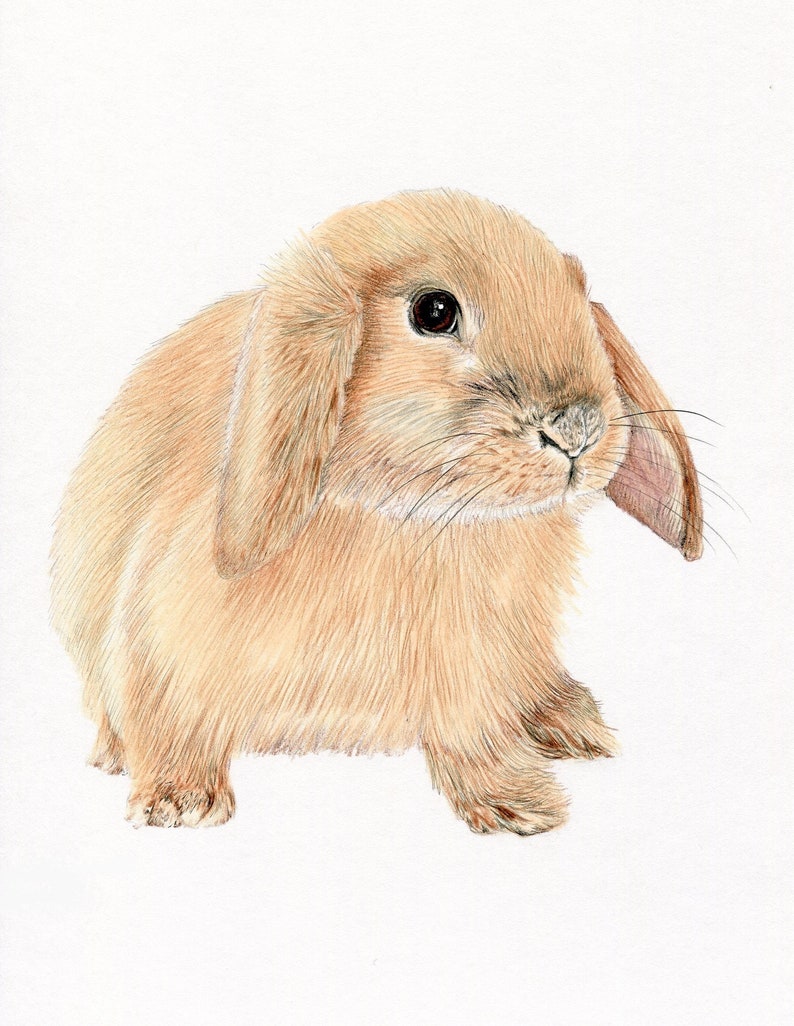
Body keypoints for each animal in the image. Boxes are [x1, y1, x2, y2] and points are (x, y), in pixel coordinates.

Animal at [50, 189, 702, 833]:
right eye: (434, 311)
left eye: (577, 297)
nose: (577, 428)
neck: (411, 518)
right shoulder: (158, 638)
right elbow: (169, 718)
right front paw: (178, 804)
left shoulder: (473, 670)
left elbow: (474, 735)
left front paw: (517, 805)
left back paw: (571, 720)